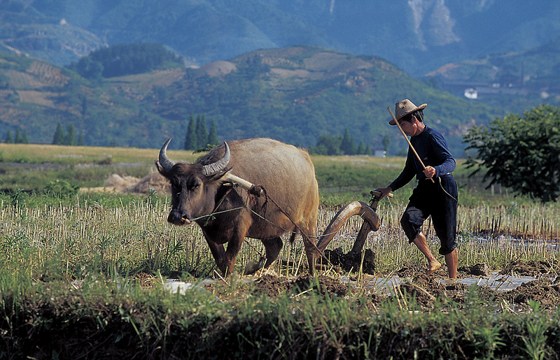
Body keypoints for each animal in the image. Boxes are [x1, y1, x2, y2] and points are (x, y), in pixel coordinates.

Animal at [155, 138, 378, 276]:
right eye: (174, 183)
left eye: (196, 185)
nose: (178, 216)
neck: (224, 189)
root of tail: (307, 160)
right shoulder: (208, 230)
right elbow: (220, 258)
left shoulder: (240, 228)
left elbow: (230, 258)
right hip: (267, 227)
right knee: (275, 247)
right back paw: (261, 271)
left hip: (309, 219)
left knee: (311, 250)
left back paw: (311, 276)